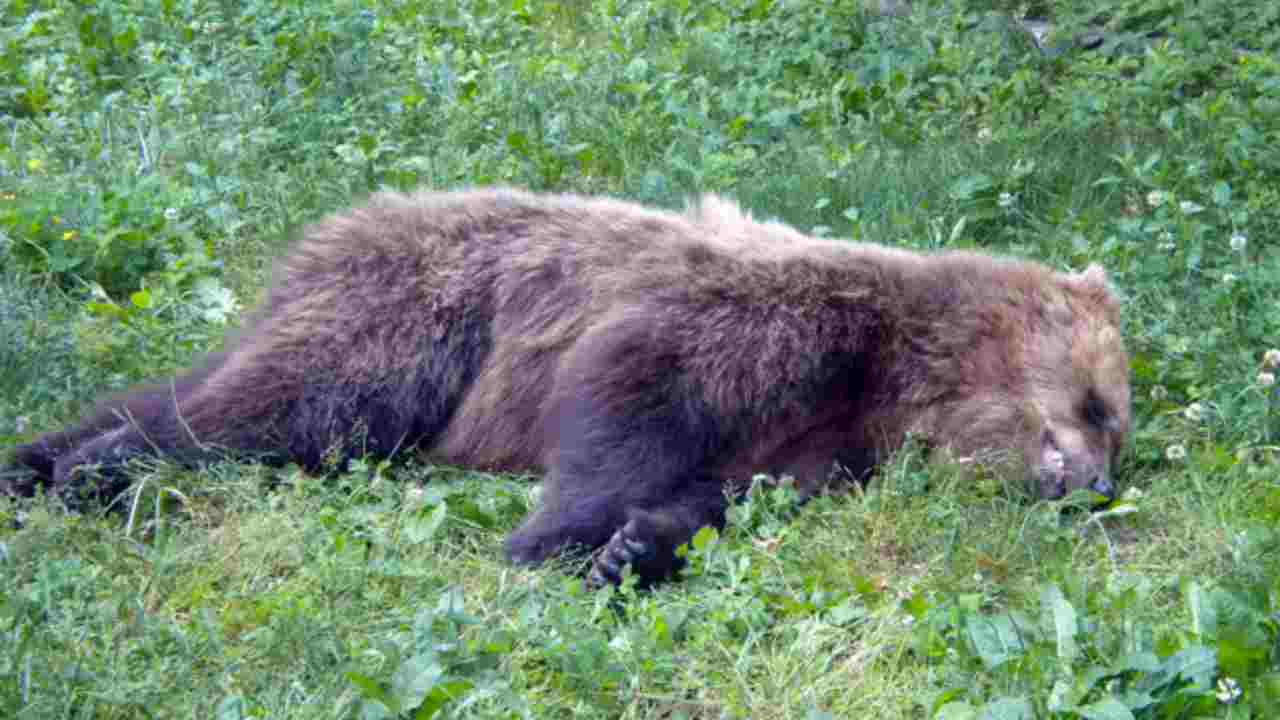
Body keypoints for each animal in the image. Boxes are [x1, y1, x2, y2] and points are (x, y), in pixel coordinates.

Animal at [7, 184, 1131, 584]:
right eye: (1098, 406)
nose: (1093, 482)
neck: (900, 372)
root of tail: (337, 226)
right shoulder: (767, 326)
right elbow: (630, 400)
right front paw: (552, 539)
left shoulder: (821, 435)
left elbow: (725, 491)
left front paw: (636, 547)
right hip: (416, 319)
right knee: (283, 409)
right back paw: (102, 468)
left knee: (190, 390)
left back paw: (41, 457)